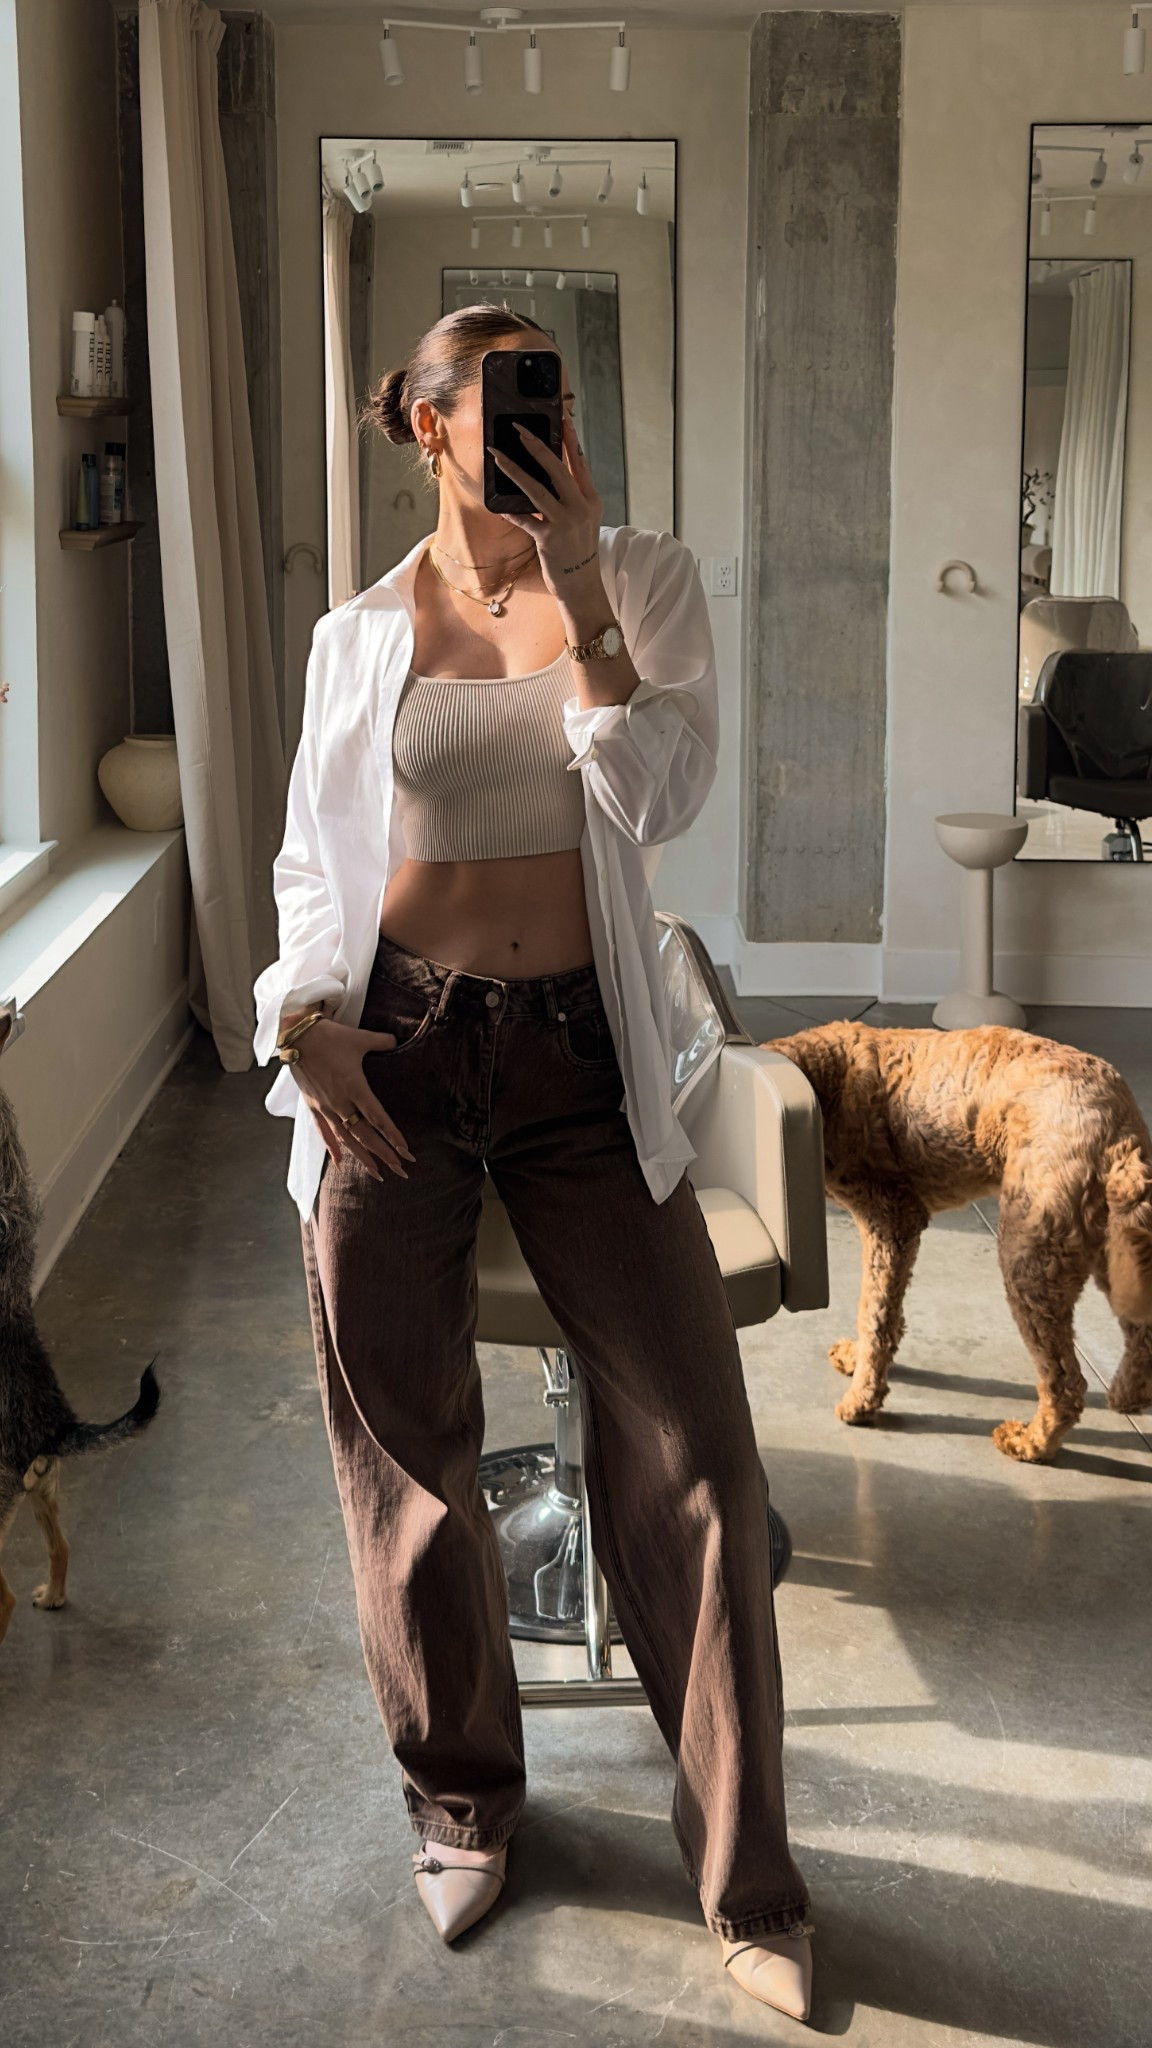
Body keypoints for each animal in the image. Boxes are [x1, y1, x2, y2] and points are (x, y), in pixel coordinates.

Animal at [765, 1021, 1152, 1463]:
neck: (823, 1081)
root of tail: (1120, 1134)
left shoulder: (891, 1218)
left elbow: (872, 1311)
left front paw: (862, 1400)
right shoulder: (896, 1231)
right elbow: (884, 1311)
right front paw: (861, 1359)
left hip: (1030, 1257)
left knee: (1066, 1384)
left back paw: (1030, 1443)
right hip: (1114, 1244)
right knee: (1141, 1333)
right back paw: (1127, 1396)